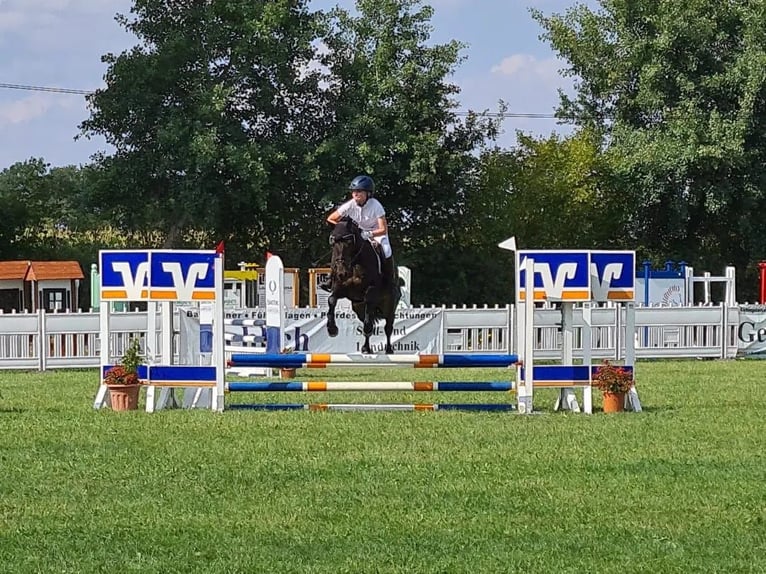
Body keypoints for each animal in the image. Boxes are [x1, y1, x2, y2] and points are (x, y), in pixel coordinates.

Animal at [328, 217, 404, 356]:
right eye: (333, 242)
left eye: (349, 241)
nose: (341, 272)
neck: (354, 264)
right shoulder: (341, 289)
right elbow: (331, 299)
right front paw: (332, 329)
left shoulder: (371, 291)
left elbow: (369, 315)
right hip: (358, 308)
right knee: (366, 319)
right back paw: (366, 348)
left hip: (390, 306)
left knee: (388, 327)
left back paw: (389, 350)